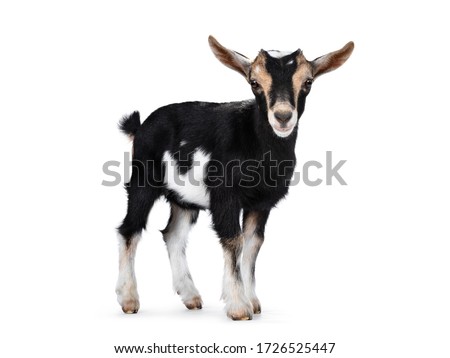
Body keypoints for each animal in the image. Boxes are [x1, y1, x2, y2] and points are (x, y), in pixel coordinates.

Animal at [114, 35, 354, 320]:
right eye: (254, 82)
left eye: (308, 82)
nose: (283, 116)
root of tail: (140, 127)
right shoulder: (225, 197)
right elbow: (233, 240)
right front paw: (239, 306)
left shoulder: (261, 203)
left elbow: (252, 244)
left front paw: (253, 301)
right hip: (142, 180)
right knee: (129, 229)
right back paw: (129, 299)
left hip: (183, 199)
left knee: (173, 235)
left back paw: (191, 296)